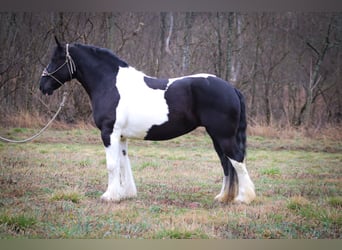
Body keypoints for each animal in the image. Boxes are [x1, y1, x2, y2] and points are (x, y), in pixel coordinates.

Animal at [38, 37, 255, 205]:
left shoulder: (109, 133)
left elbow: (112, 164)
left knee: (237, 160)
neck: (110, 84)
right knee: (226, 163)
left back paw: (244, 198)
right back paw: (223, 197)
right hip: (216, 136)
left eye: (56, 59)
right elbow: (123, 163)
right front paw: (126, 194)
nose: (42, 85)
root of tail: (231, 88)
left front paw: (109, 196)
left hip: (223, 135)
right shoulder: (121, 136)